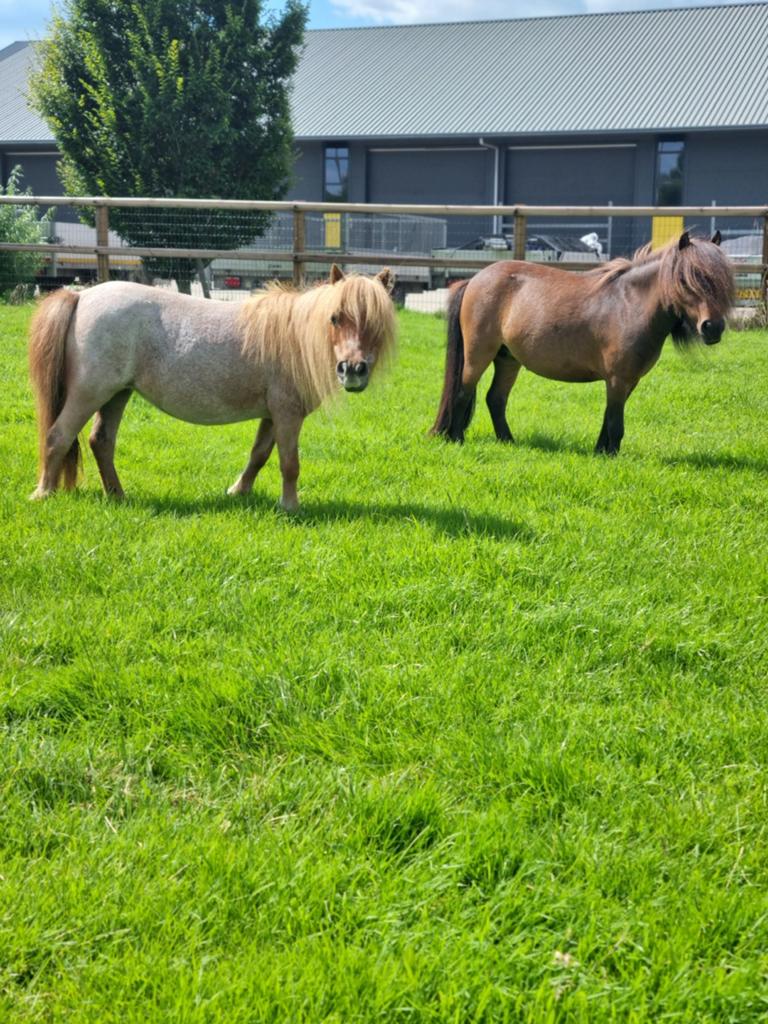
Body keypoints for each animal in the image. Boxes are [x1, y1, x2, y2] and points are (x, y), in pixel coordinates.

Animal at [28, 265, 396, 509]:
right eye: (335, 318)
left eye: (377, 323)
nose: (352, 370)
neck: (296, 339)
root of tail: (82, 295)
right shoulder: (287, 413)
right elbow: (289, 463)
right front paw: (290, 506)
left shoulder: (272, 415)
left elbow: (259, 455)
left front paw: (238, 491)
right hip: (89, 393)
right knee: (58, 435)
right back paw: (43, 493)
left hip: (117, 394)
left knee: (101, 442)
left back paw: (118, 495)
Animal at [431, 231, 735, 454]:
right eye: (687, 277)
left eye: (722, 278)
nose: (712, 327)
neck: (630, 304)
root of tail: (474, 279)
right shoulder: (617, 379)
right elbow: (615, 423)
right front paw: (612, 456)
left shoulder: (627, 381)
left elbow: (609, 417)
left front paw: (600, 452)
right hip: (478, 355)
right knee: (463, 392)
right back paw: (456, 439)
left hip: (508, 359)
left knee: (495, 399)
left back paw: (508, 441)